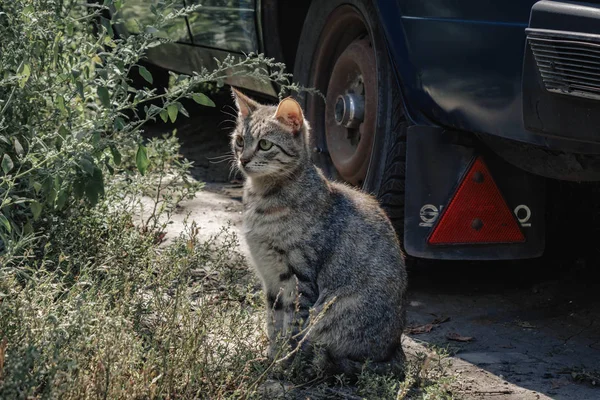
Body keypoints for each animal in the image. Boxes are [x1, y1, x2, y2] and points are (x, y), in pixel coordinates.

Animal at [231, 88, 408, 378]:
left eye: (265, 145)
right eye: (239, 140)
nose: (243, 159)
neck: (262, 198)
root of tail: (395, 349)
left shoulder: (299, 277)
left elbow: (292, 325)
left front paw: (284, 362)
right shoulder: (270, 278)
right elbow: (273, 321)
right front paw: (271, 356)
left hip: (331, 311)